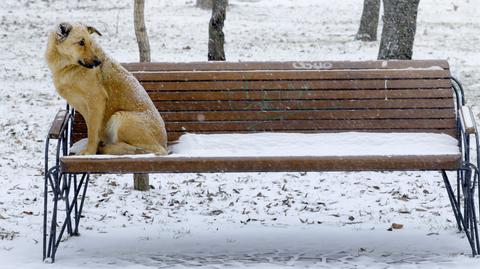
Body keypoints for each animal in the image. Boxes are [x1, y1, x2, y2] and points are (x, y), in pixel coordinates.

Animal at [45, 22, 168, 155]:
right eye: (81, 42)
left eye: (90, 43)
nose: (98, 62)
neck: (69, 67)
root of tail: (165, 145)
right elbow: (92, 129)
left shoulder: (96, 100)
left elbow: (93, 132)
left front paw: (89, 152)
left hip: (121, 118)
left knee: (145, 150)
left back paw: (110, 148)